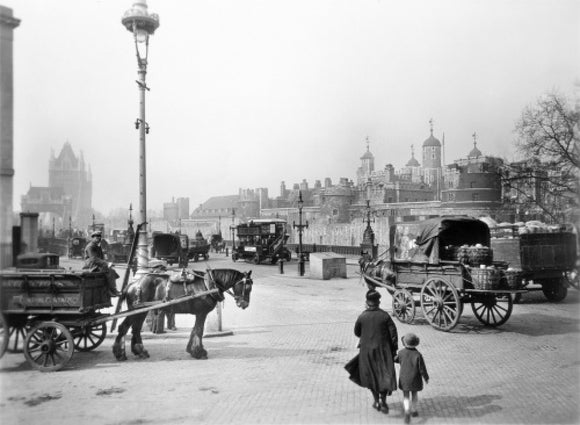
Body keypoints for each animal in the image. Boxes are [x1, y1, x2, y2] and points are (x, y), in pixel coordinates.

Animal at [112, 266, 253, 360]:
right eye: (247, 287)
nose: (244, 304)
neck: (208, 284)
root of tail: (134, 283)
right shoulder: (201, 313)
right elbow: (199, 330)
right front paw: (199, 352)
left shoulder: (199, 314)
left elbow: (195, 330)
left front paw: (193, 350)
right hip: (137, 311)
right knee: (128, 328)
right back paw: (123, 353)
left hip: (140, 311)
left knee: (132, 328)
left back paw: (136, 352)